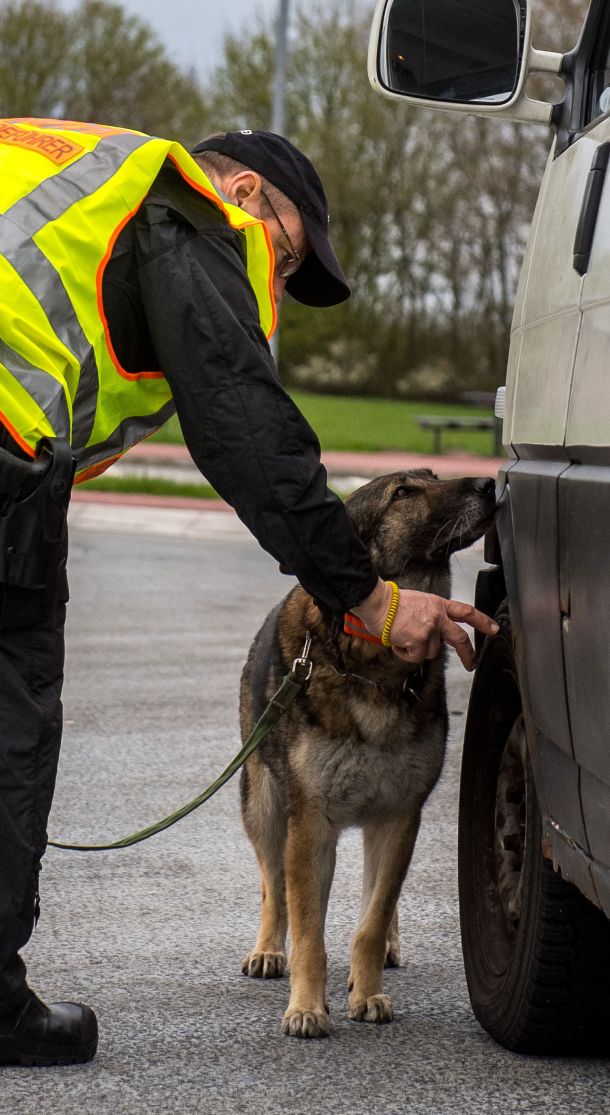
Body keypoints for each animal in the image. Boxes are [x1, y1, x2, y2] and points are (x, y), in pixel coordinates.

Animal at [238, 468, 497, 1034]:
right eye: (404, 493)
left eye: (431, 476)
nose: (489, 483)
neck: (375, 665)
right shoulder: (310, 825)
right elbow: (308, 929)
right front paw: (307, 1006)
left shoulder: (398, 818)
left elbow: (373, 920)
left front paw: (368, 990)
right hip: (263, 807)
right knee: (273, 885)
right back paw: (269, 949)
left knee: (378, 900)